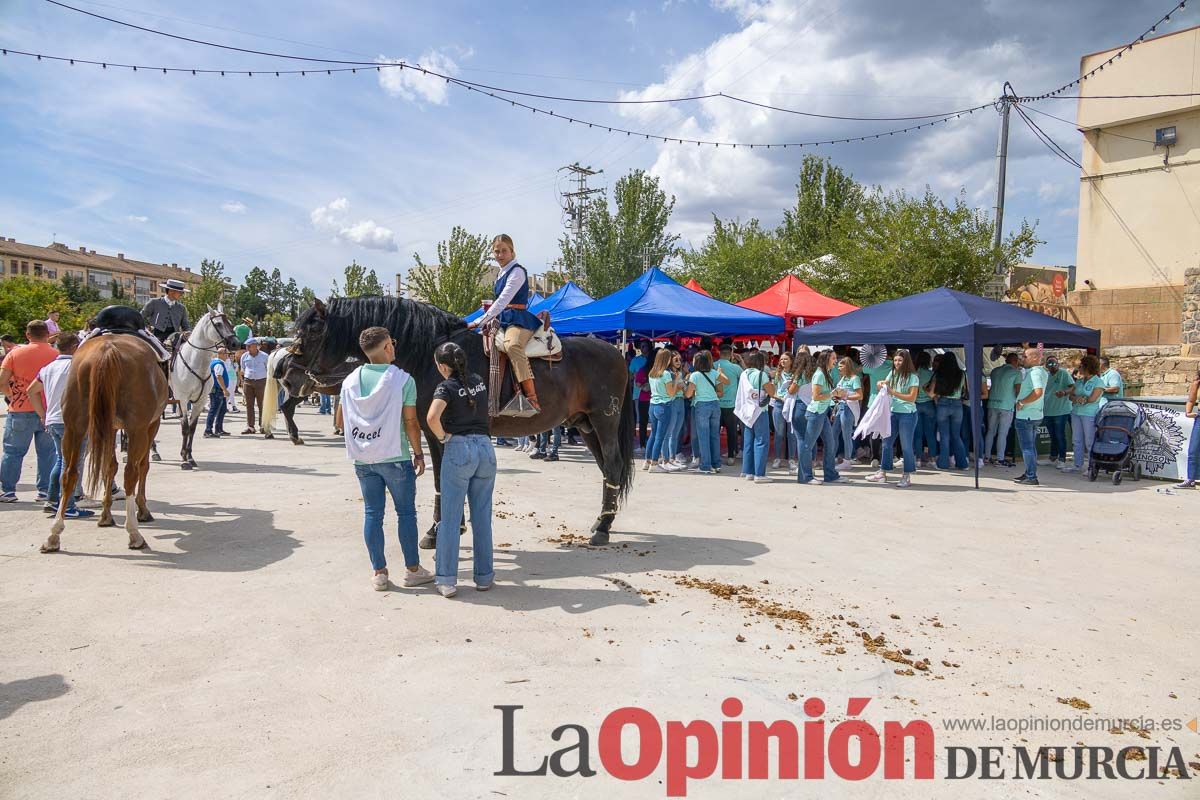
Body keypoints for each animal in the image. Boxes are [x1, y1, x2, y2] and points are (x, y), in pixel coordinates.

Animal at [42, 335, 168, 554]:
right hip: (137, 429)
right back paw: (134, 533)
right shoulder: (151, 425)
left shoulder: (108, 427)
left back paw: (54, 535)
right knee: (131, 473)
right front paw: (142, 510)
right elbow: (142, 466)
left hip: (73, 428)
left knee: (69, 474)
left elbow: (109, 467)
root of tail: (107, 350)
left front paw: (106, 514)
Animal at [170, 307, 240, 470]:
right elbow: (185, 427)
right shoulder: (182, 399)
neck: (195, 362)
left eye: (230, 322)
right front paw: (184, 460)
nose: (236, 343)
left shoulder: (200, 401)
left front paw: (189, 457)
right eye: (219, 323)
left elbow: (192, 428)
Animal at [290, 297, 633, 546]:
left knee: (613, 463)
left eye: (312, 331)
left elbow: (444, 477)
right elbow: (444, 478)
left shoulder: (442, 432)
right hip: (585, 424)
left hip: (604, 421)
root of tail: (616, 353)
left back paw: (602, 529)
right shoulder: (437, 432)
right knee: (607, 468)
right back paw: (605, 519)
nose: (288, 375)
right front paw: (450, 526)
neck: (430, 352)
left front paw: (438, 529)